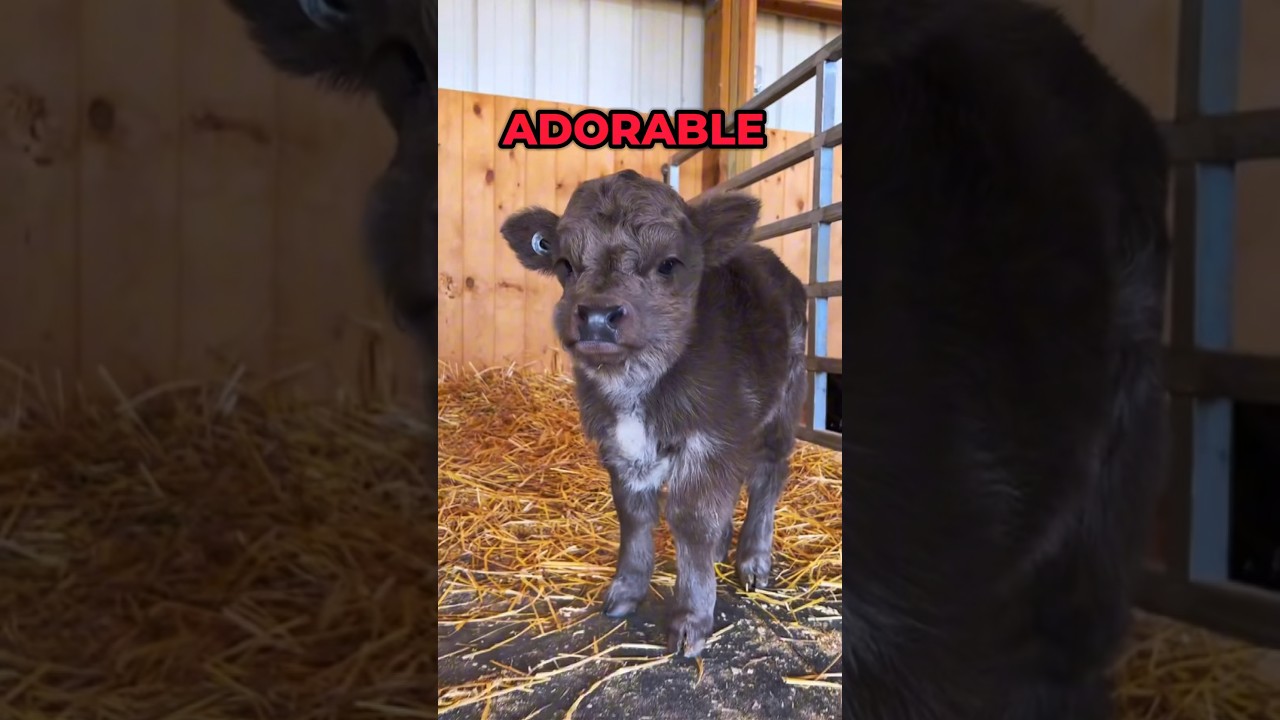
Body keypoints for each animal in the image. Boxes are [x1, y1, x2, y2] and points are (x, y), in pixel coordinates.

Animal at [500, 170, 809, 658]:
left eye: (668, 263)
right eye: (565, 263)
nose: (598, 317)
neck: (635, 387)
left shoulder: (710, 437)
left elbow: (692, 519)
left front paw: (691, 618)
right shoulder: (620, 445)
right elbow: (634, 514)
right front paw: (626, 591)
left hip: (782, 406)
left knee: (767, 477)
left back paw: (754, 559)